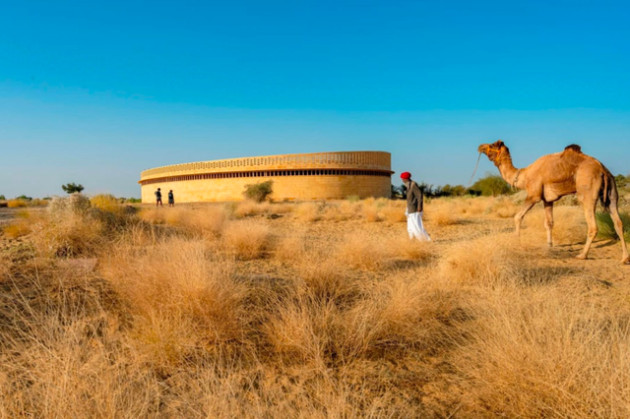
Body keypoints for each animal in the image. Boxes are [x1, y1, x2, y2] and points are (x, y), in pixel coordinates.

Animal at [482, 141, 628, 266]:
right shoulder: (548, 200)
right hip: (612, 193)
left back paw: (582, 255)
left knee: (593, 226)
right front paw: (549, 244)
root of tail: (602, 170)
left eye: (491, 145)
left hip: (587, 192)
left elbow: (518, 216)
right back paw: (625, 258)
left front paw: (517, 242)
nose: (480, 147)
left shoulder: (534, 195)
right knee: (618, 223)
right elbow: (549, 223)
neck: (524, 175)